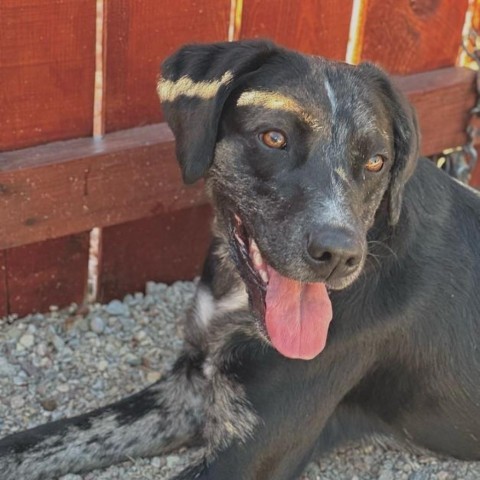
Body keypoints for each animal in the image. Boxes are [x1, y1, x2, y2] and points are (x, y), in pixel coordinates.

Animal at [0, 40, 480, 480]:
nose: (339, 255)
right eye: (273, 138)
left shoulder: (250, 452)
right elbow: (40, 440)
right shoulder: (187, 388)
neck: (238, 299)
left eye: (377, 162)